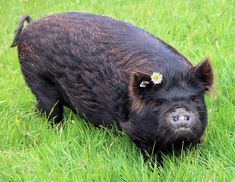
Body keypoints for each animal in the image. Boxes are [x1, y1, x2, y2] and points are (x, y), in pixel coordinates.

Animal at [11, 12, 213, 161]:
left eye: (193, 98)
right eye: (159, 102)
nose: (180, 111)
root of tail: (29, 28)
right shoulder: (136, 130)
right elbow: (149, 153)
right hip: (38, 80)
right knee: (51, 110)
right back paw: (58, 130)